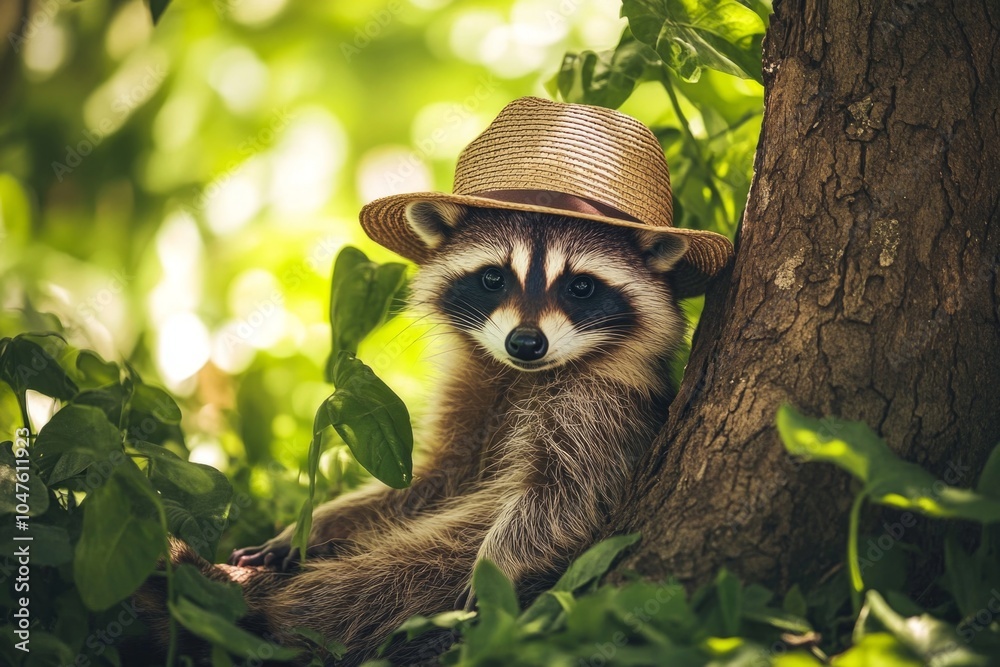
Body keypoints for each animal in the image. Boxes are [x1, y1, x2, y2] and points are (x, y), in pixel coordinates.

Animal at [147, 201, 690, 665]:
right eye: (493, 278)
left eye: (580, 287)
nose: (525, 343)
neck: (522, 374)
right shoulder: (470, 397)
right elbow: (431, 481)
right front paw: (318, 523)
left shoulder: (604, 411)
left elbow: (565, 496)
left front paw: (499, 563)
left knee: (379, 582)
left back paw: (256, 618)